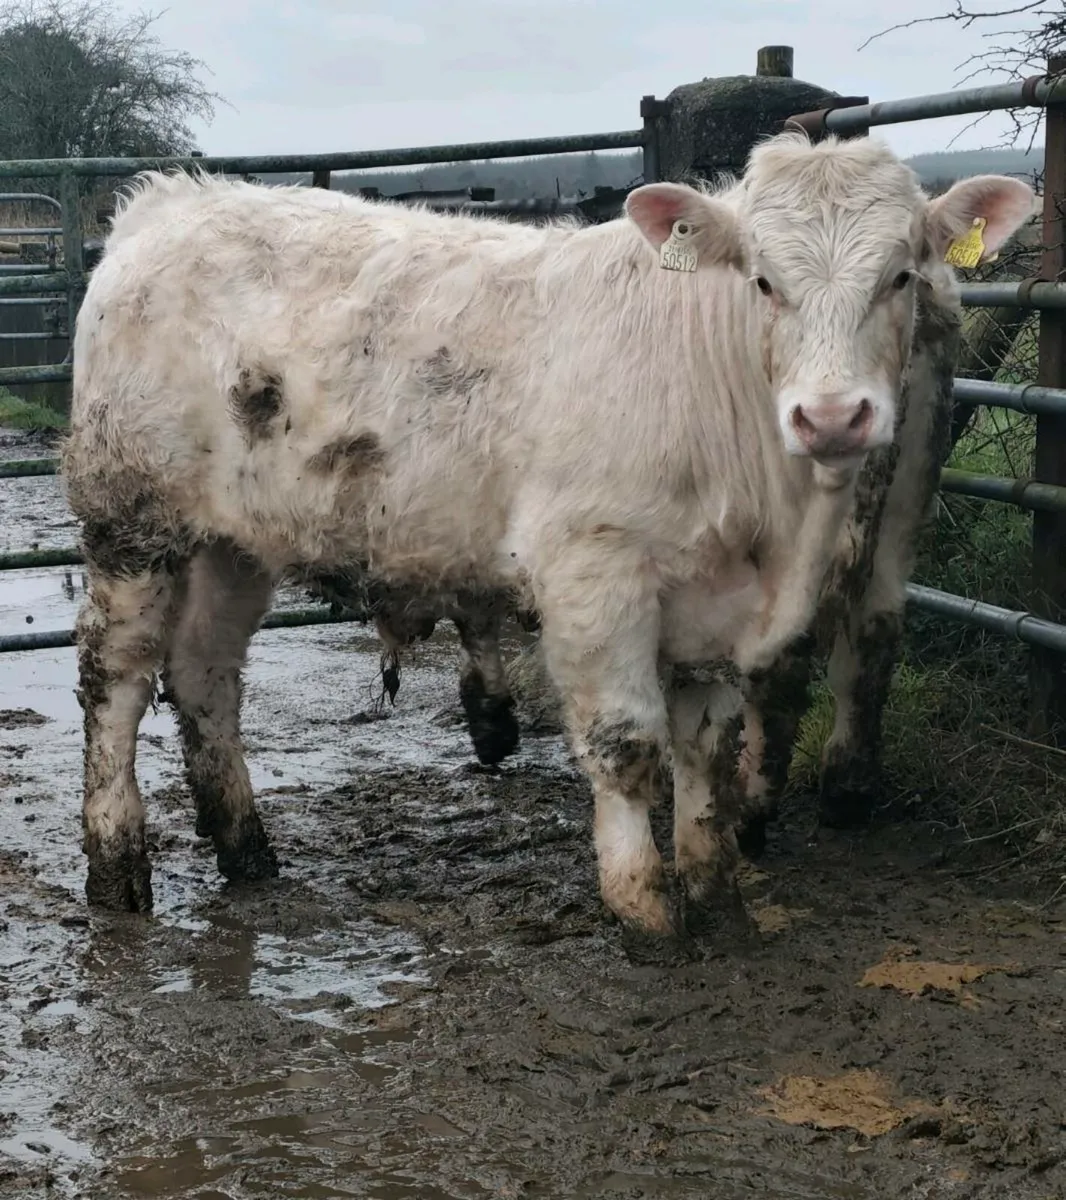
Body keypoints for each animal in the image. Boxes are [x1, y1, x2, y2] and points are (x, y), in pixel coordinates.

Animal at [61, 132, 1035, 947]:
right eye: (763, 281)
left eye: (902, 275)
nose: (832, 417)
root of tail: (170, 200)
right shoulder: (593, 571)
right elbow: (627, 743)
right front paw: (645, 907)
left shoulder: (714, 603)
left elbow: (706, 750)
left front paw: (717, 894)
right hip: (129, 518)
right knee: (117, 677)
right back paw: (119, 868)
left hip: (234, 540)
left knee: (205, 673)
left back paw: (247, 852)